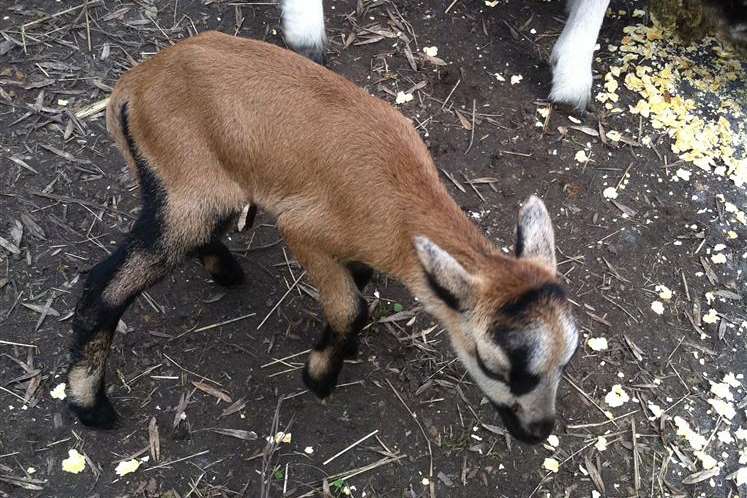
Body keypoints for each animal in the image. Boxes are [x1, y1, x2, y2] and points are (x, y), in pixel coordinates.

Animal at [65, 31, 580, 444]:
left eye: (564, 363)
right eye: (496, 367)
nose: (538, 431)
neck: (399, 204)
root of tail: (134, 84)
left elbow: (356, 285)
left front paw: (342, 344)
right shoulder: (304, 228)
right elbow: (350, 307)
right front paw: (319, 376)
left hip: (190, 189)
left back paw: (226, 270)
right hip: (188, 183)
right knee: (104, 287)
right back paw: (89, 405)